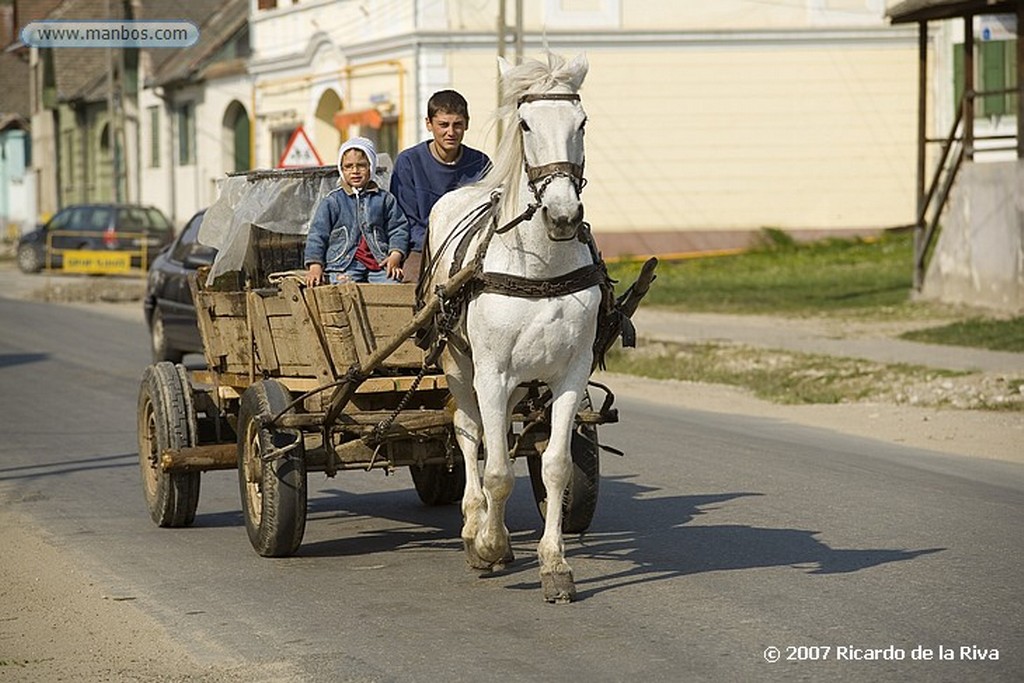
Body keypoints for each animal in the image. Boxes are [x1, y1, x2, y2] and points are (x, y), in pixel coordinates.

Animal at [423, 53, 598, 602]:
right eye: (525, 124)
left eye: (582, 122)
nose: (563, 215)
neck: (540, 267)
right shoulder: (492, 373)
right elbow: (497, 471)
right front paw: (490, 545)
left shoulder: (570, 374)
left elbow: (556, 465)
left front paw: (555, 563)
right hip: (461, 366)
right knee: (468, 431)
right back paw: (472, 523)